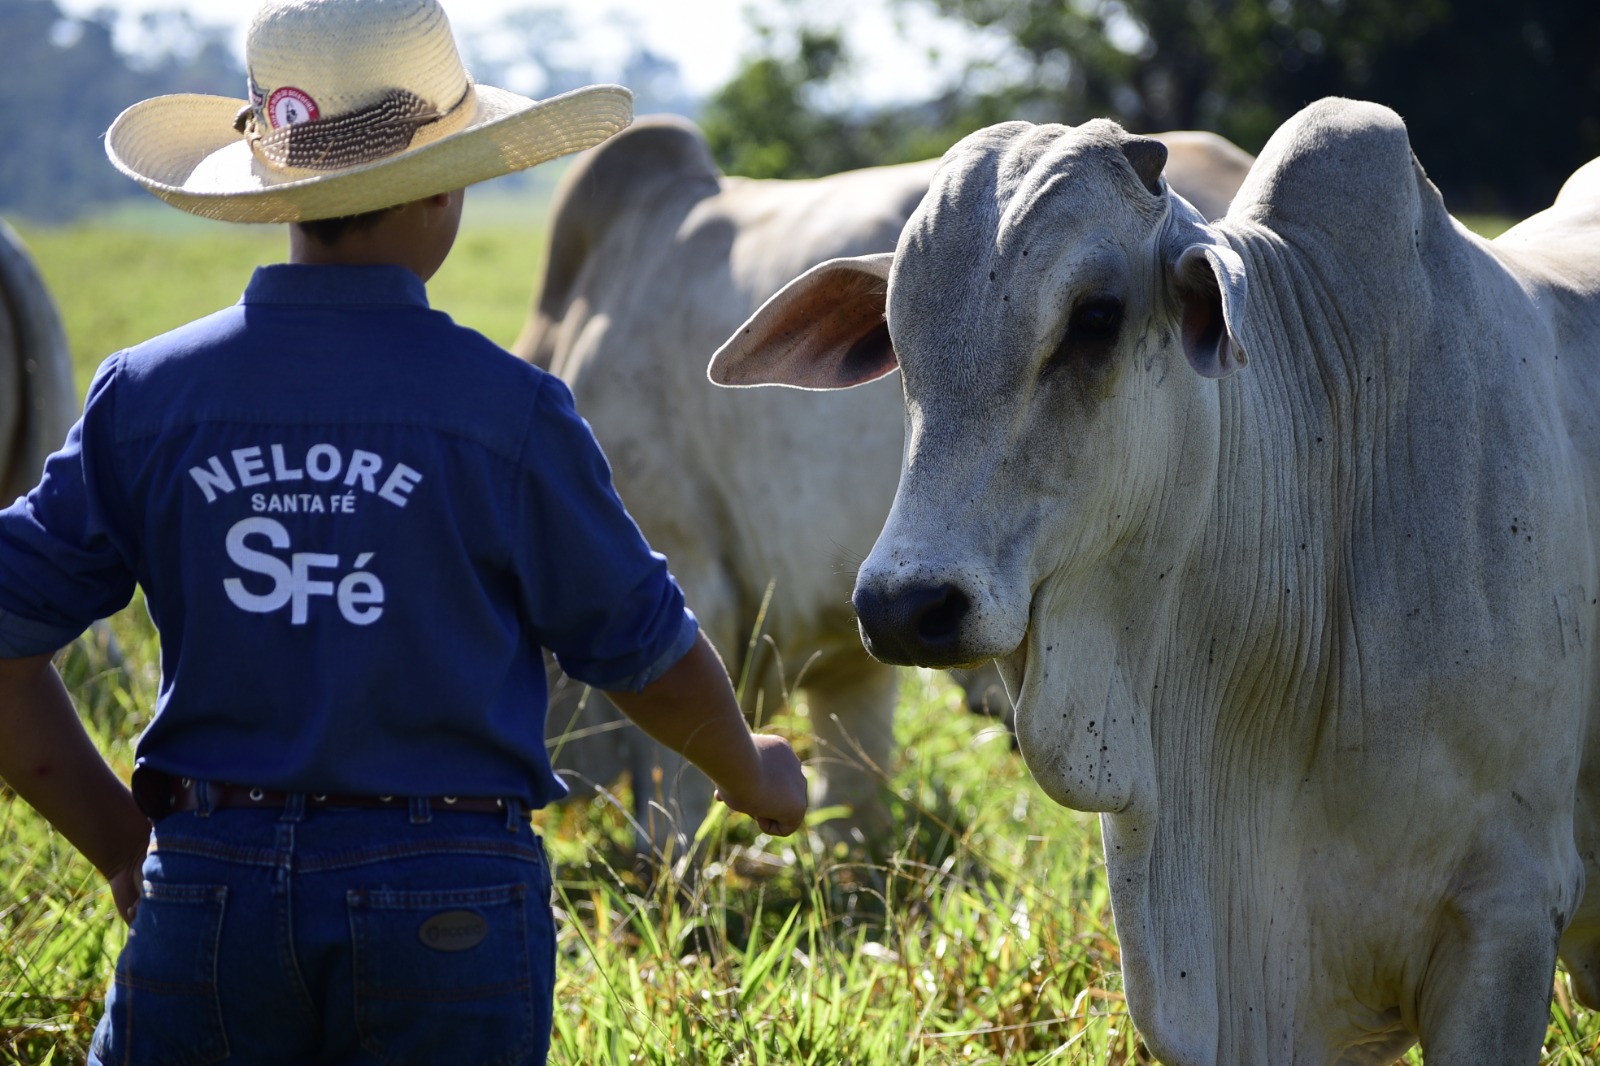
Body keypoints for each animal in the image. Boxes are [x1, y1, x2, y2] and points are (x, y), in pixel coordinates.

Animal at [518, 114, 1254, 845]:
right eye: (892, 342)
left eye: (1097, 317)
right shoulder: (848, 661)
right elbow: (850, 820)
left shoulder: (681, 576)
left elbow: (677, 814)